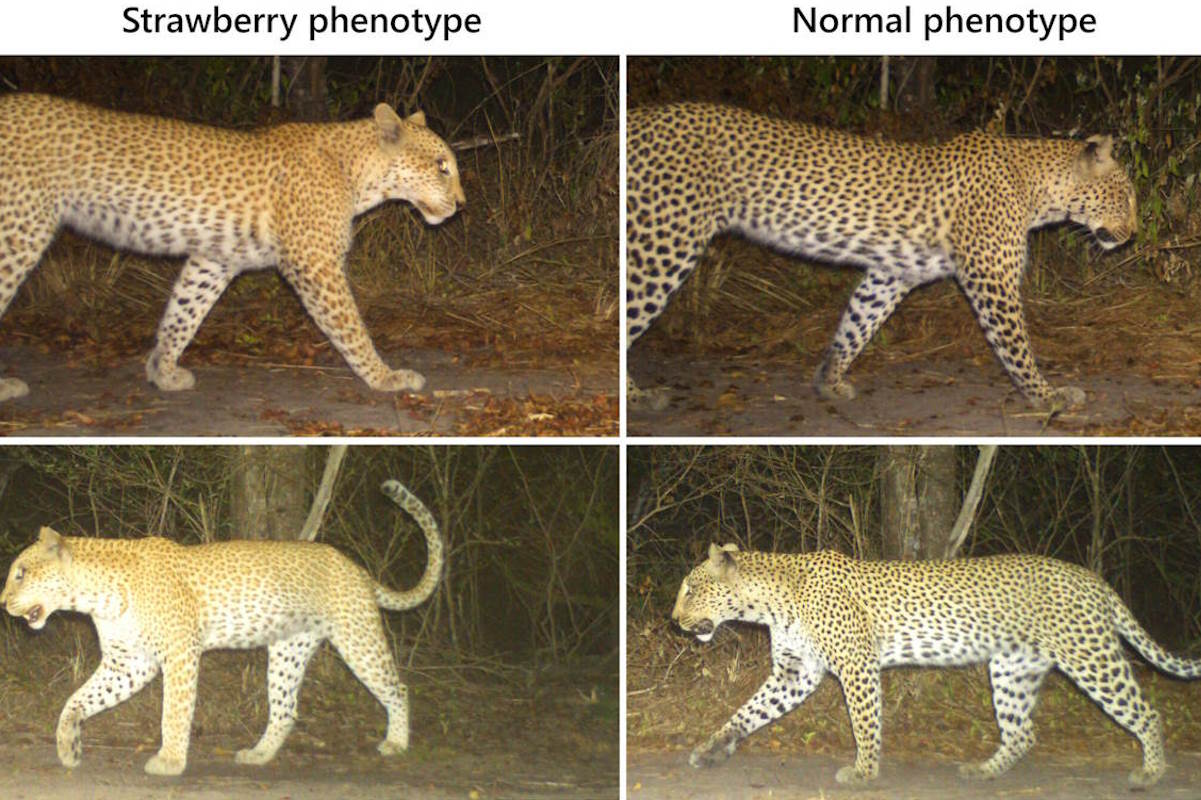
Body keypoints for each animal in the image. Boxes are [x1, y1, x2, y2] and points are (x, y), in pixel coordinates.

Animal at [0, 93, 466, 401]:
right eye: (441, 167)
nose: (463, 204)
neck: (359, 176)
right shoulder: (315, 263)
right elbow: (352, 328)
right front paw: (385, 377)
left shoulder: (215, 260)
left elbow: (183, 314)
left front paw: (162, 371)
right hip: (20, 229)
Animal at [0, 478, 444, 777]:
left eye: (21, 574)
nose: (3, 602)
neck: (97, 597)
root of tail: (358, 569)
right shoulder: (127, 664)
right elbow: (76, 700)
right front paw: (68, 747)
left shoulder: (178, 654)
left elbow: (173, 712)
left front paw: (170, 761)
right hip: (289, 650)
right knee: (285, 709)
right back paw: (258, 755)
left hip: (357, 638)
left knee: (397, 688)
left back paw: (396, 743)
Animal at [627, 102, 1137, 410]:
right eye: (1127, 195)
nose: (1133, 235)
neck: (1040, 192)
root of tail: (637, 119)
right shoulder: (992, 279)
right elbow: (1016, 345)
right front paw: (1046, 396)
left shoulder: (893, 273)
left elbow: (856, 324)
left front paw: (829, 381)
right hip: (663, 241)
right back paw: (637, 397)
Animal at [672, 544, 1201, 788]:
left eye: (691, 589)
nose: (674, 619)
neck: (768, 604)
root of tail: (1093, 579)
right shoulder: (795, 673)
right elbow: (746, 712)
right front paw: (710, 749)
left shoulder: (857, 666)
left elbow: (865, 723)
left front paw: (864, 772)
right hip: (1012, 669)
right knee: (1023, 732)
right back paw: (984, 772)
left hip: (1090, 658)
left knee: (1146, 713)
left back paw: (1151, 773)